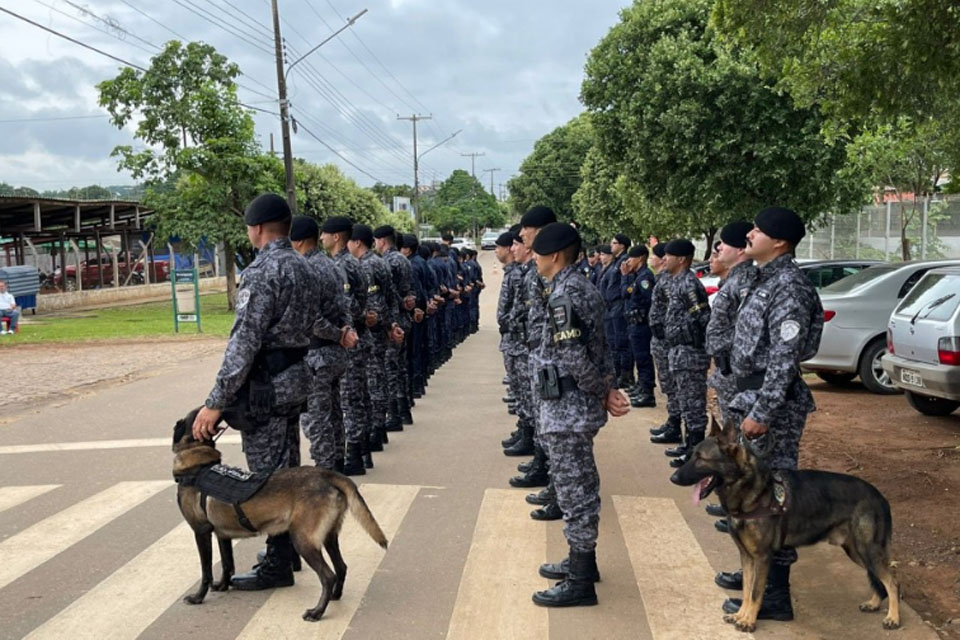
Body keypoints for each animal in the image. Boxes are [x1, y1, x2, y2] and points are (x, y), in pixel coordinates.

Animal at [172, 408, 386, 624]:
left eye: (199, 413)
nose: (215, 409)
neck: (197, 460)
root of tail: (327, 474)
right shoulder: (223, 535)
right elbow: (227, 564)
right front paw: (223, 586)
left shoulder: (201, 531)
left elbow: (206, 571)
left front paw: (198, 597)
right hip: (329, 536)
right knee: (341, 567)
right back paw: (335, 595)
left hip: (302, 540)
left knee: (328, 576)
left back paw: (317, 612)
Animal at [668, 418, 900, 632]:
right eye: (692, 455)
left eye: (700, 458)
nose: (673, 478)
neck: (751, 491)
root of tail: (881, 497)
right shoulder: (747, 557)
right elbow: (746, 589)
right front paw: (741, 615)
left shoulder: (762, 557)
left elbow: (756, 592)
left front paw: (749, 621)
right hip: (856, 551)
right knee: (879, 579)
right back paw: (874, 603)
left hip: (867, 550)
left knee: (892, 581)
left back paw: (893, 617)